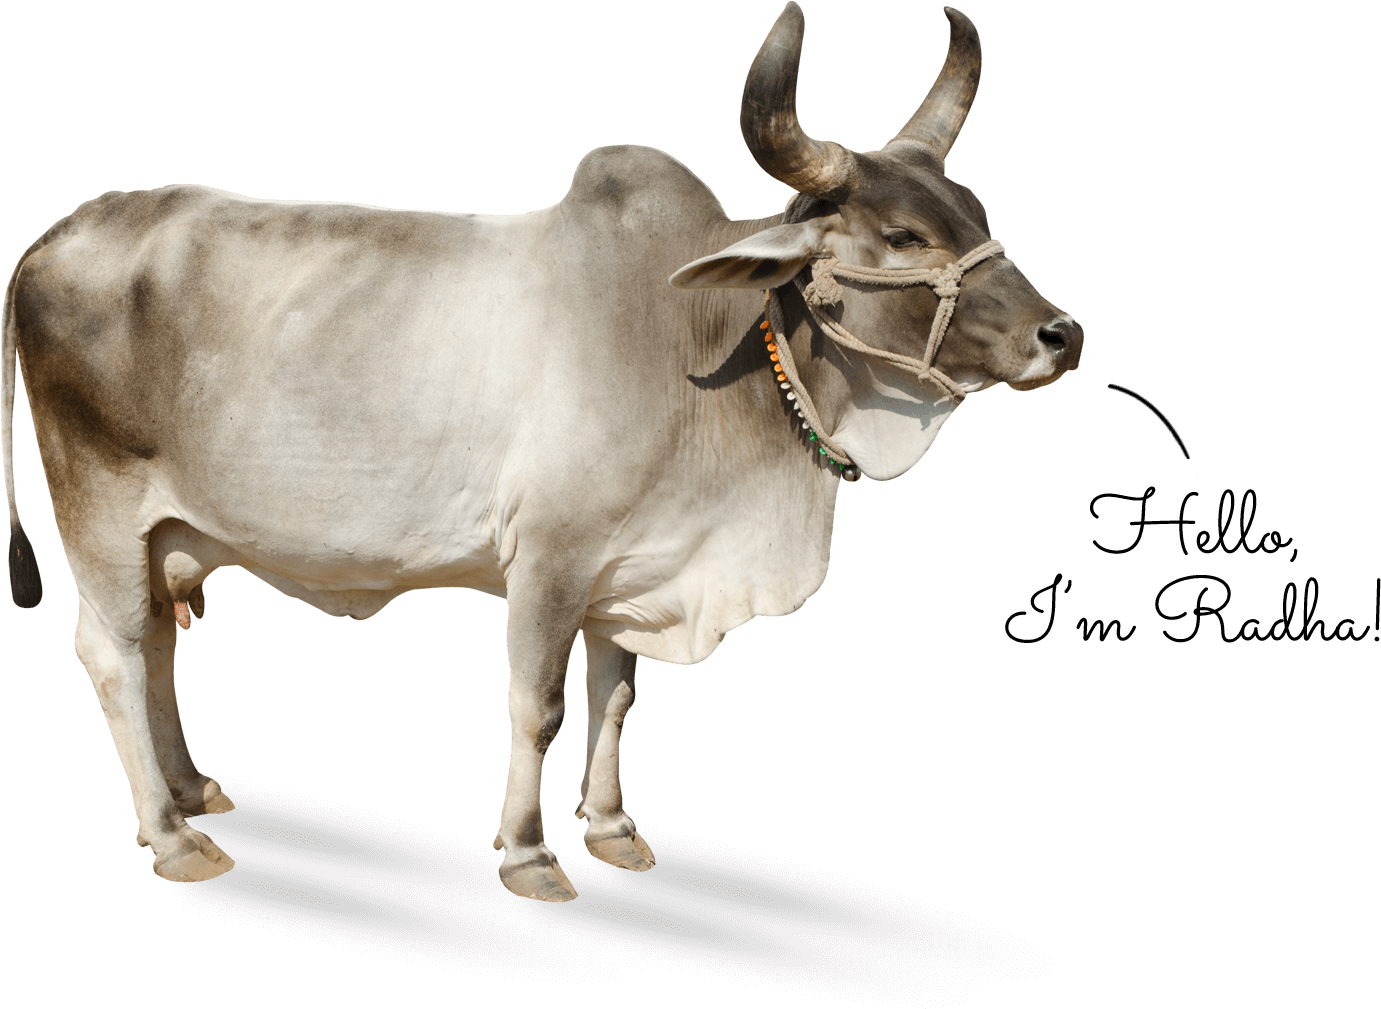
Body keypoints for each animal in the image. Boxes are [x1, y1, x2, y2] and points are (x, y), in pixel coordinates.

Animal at [2, 4, 1081, 902]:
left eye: (978, 215)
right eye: (899, 235)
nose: (1060, 334)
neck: (700, 338)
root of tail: (67, 227)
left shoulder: (633, 568)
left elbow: (616, 696)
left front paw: (609, 827)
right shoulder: (548, 561)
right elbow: (540, 702)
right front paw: (527, 853)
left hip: (167, 532)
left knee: (158, 643)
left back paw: (192, 790)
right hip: (98, 508)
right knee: (111, 650)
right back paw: (170, 834)